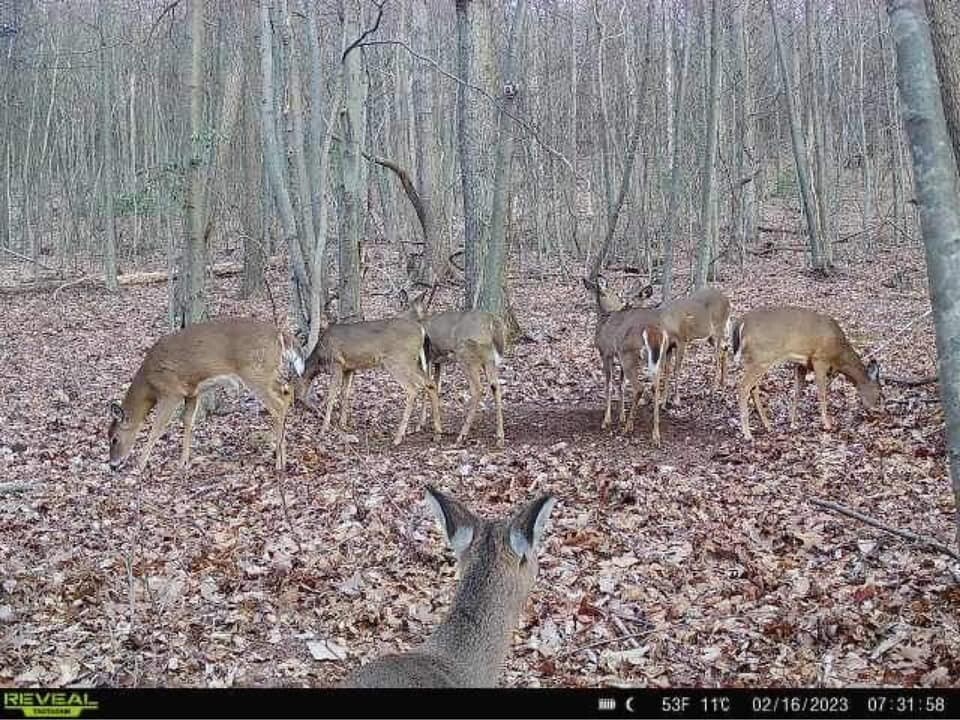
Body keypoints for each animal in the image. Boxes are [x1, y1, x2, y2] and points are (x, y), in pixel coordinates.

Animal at [107, 318, 305, 472]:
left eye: (114, 439)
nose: (113, 465)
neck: (149, 384)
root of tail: (280, 334)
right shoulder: (191, 392)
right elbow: (188, 421)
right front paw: (183, 462)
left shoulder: (171, 392)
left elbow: (157, 428)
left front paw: (139, 466)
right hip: (268, 372)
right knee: (287, 393)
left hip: (255, 372)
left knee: (278, 404)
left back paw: (279, 462)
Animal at [295, 305, 442, 446]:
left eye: (293, 382)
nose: (297, 399)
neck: (320, 357)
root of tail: (422, 330)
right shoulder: (349, 368)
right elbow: (345, 393)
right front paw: (343, 423)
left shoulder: (336, 363)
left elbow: (331, 396)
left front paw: (324, 428)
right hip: (412, 361)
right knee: (430, 383)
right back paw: (437, 431)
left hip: (398, 360)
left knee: (412, 388)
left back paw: (398, 438)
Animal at [583, 276, 669, 446]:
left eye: (595, 289)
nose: (586, 281)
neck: (606, 316)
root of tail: (653, 330)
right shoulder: (618, 356)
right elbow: (621, 384)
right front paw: (621, 417)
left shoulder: (606, 352)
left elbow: (609, 385)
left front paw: (607, 421)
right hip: (657, 357)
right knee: (655, 386)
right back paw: (655, 435)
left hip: (629, 354)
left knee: (639, 388)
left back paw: (628, 428)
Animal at [729, 306, 882, 440]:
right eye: (879, 392)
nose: (876, 412)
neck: (839, 356)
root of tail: (740, 323)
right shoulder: (819, 359)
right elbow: (822, 393)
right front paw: (827, 424)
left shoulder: (802, 364)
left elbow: (797, 391)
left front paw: (793, 423)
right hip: (762, 358)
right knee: (743, 386)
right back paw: (747, 434)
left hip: (753, 360)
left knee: (753, 388)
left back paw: (767, 425)